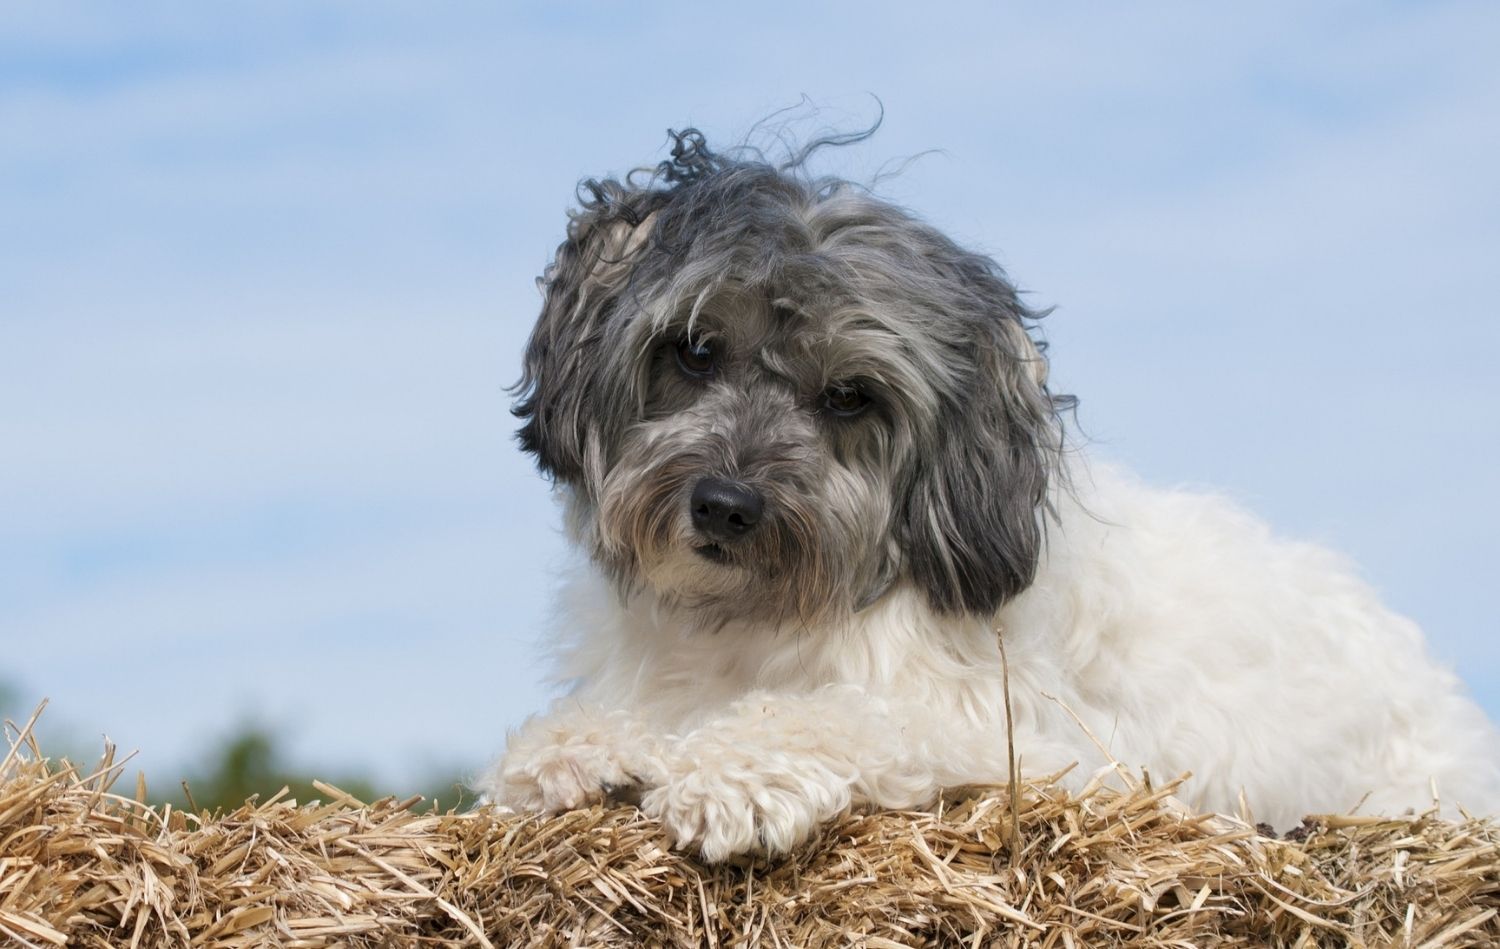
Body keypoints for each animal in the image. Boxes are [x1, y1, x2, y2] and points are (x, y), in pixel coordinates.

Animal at [474, 127, 1494, 857]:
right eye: (692, 348)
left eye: (850, 395)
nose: (726, 506)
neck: (757, 625)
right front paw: (567, 750)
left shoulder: (1046, 748)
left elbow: (862, 717)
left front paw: (732, 770)